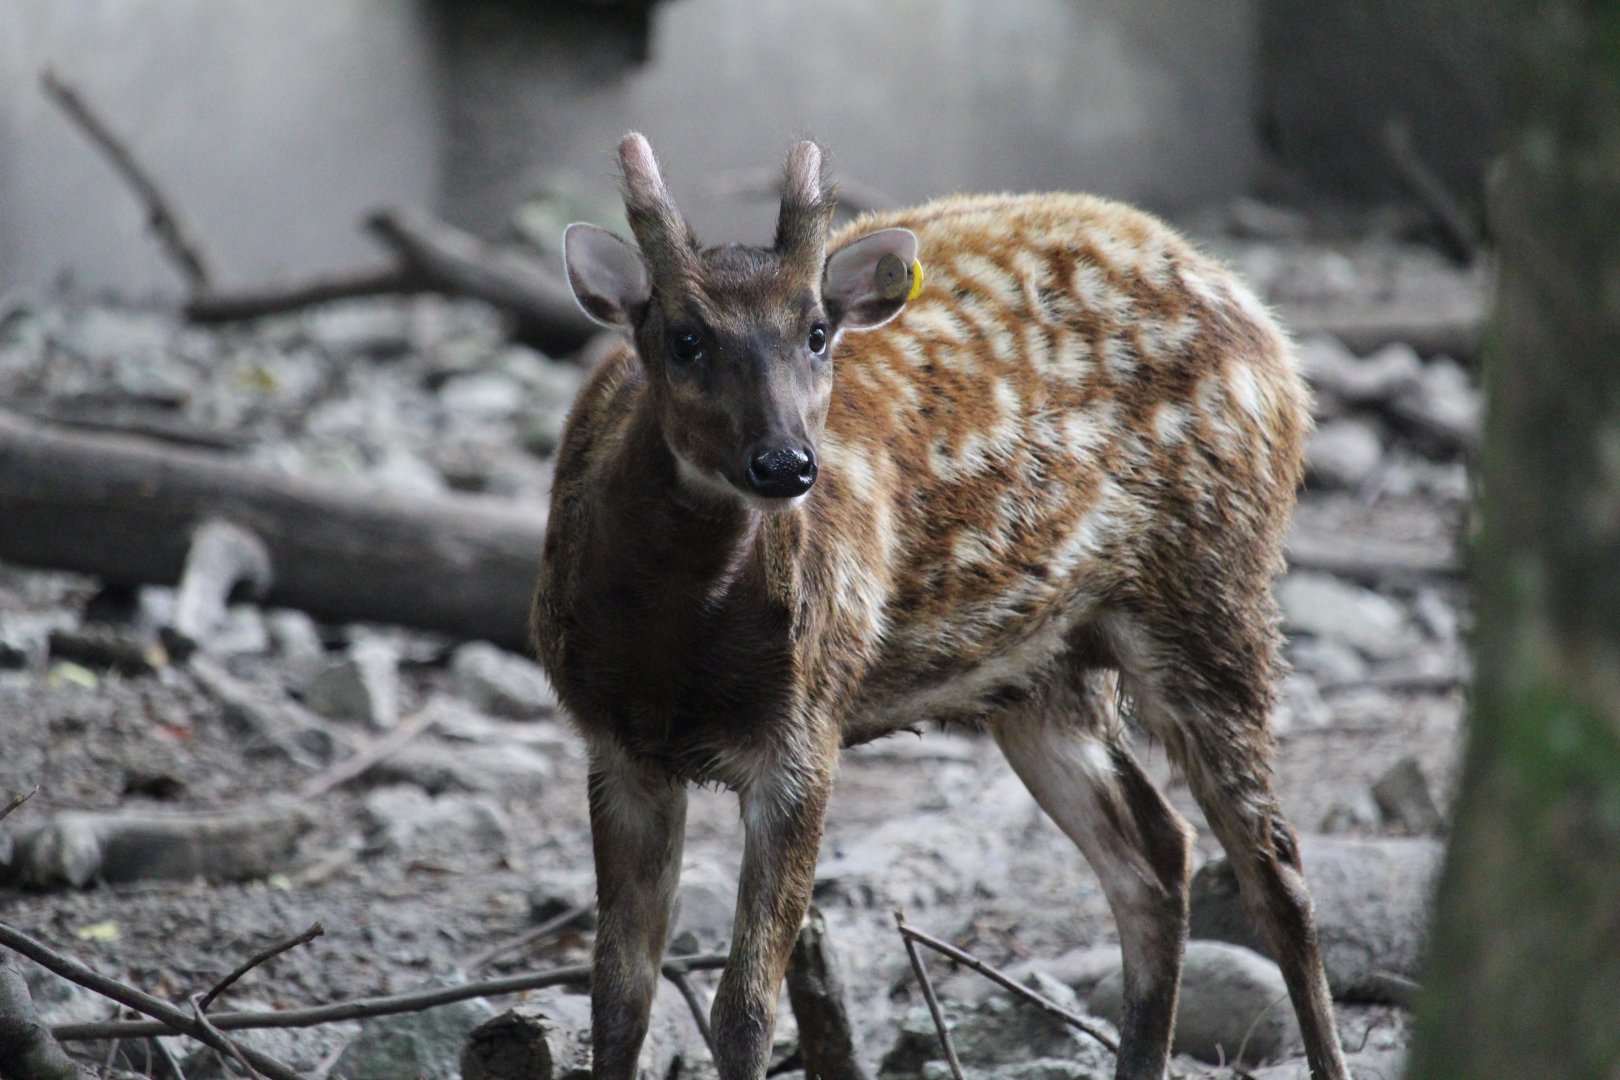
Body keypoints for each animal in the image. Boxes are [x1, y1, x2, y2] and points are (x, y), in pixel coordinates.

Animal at [530, 132, 1350, 1080]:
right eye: (684, 337)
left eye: (817, 332)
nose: (786, 464)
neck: (670, 653)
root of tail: (1274, 340)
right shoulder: (616, 746)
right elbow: (619, 997)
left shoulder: (806, 726)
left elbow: (743, 1010)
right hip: (1045, 671)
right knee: (1156, 854)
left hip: (1216, 583)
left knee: (1275, 868)